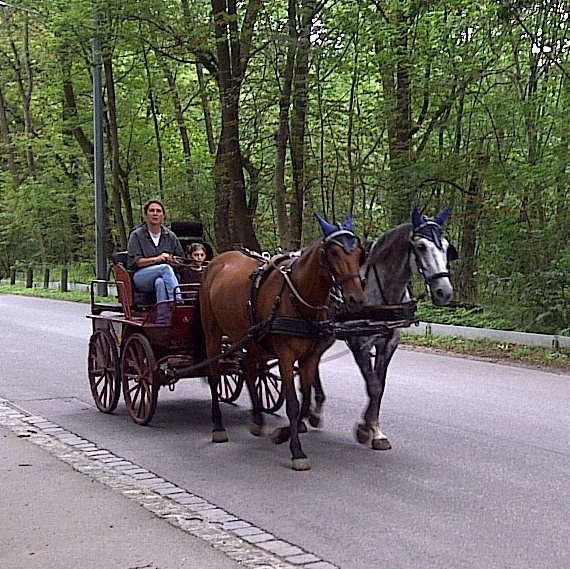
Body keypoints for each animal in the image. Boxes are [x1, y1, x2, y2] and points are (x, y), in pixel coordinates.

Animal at [197, 213, 362, 470]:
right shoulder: (286, 355)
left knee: (248, 368)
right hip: (213, 333)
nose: (356, 299)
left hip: (250, 338)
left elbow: (305, 397)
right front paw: (297, 451)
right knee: (215, 376)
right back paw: (218, 426)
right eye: (334, 252)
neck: (297, 296)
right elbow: (293, 404)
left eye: (358, 253)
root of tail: (216, 261)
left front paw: (283, 433)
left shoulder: (309, 356)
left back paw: (257, 419)